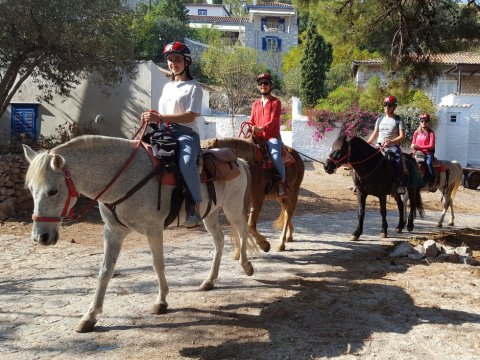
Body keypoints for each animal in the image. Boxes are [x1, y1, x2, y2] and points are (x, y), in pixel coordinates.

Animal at [22, 135, 258, 332]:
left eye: (53, 191)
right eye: (31, 190)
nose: (40, 237)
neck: (123, 178)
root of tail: (239, 161)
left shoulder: (154, 230)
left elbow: (157, 264)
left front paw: (161, 302)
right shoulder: (113, 232)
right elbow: (105, 271)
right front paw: (90, 316)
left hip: (232, 209)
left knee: (243, 232)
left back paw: (247, 266)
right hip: (210, 214)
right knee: (219, 241)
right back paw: (209, 281)